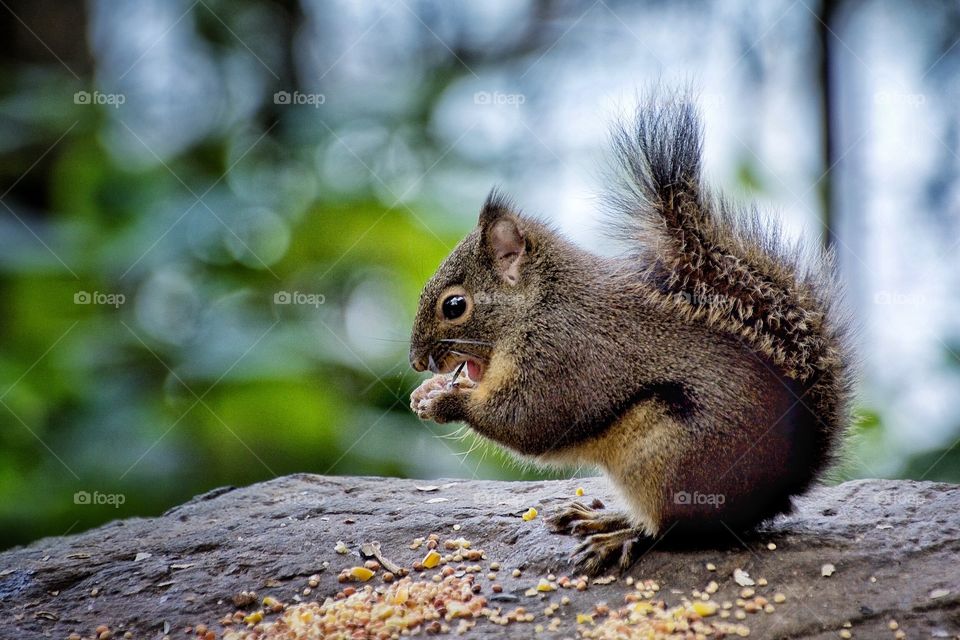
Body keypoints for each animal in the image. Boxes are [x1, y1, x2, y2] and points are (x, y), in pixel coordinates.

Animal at [408, 97, 854, 575]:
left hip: (666, 459)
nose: (416, 361)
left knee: (670, 530)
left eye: (455, 306)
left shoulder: (561, 354)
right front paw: (427, 392)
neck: (538, 304)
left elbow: (529, 421)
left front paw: (443, 402)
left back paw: (618, 535)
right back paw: (604, 517)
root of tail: (782, 488)